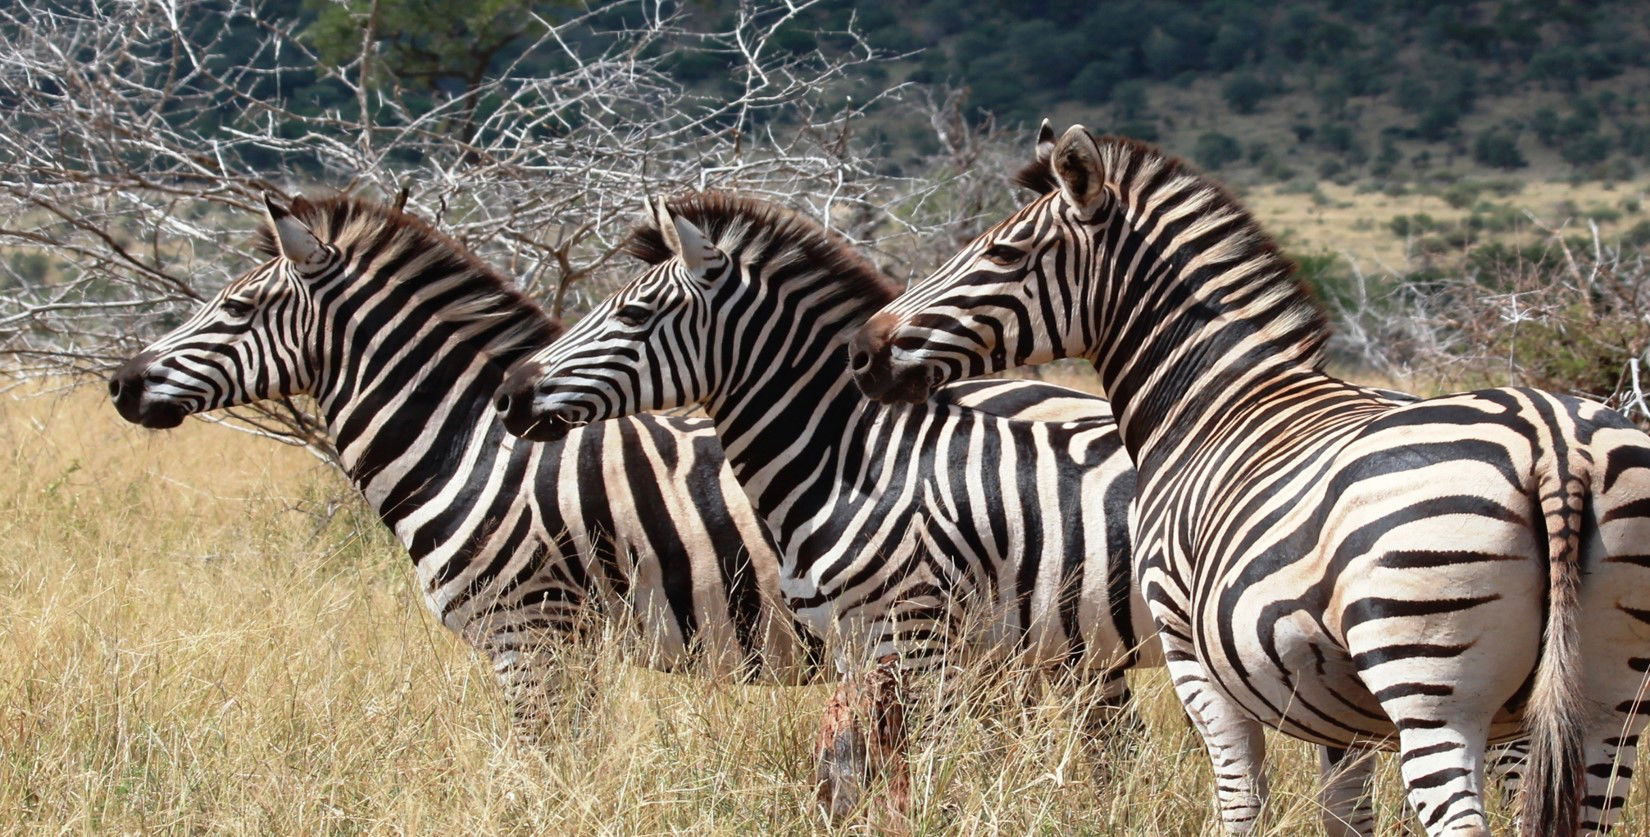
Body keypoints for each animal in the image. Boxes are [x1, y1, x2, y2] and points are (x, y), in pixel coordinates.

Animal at [851, 122, 1650, 836]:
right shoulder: (1336, 698)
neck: (1218, 401)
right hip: (1608, 700)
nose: (864, 350)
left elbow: (1239, 795)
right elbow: (1344, 813)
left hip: (1429, 680)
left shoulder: (1186, 644)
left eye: (1005, 251)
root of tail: (1553, 442)